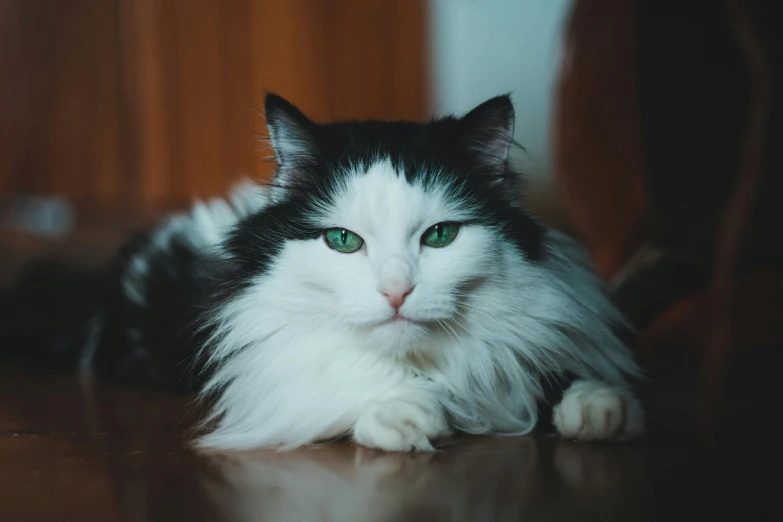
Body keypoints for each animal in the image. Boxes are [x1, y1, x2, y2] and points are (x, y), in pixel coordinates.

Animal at [0, 93, 644, 450]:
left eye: (440, 236)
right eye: (342, 241)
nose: (396, 291)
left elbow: (543, 369)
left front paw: (600, 408)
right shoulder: (262, 367)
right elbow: (340, 382)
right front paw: (406, 416)